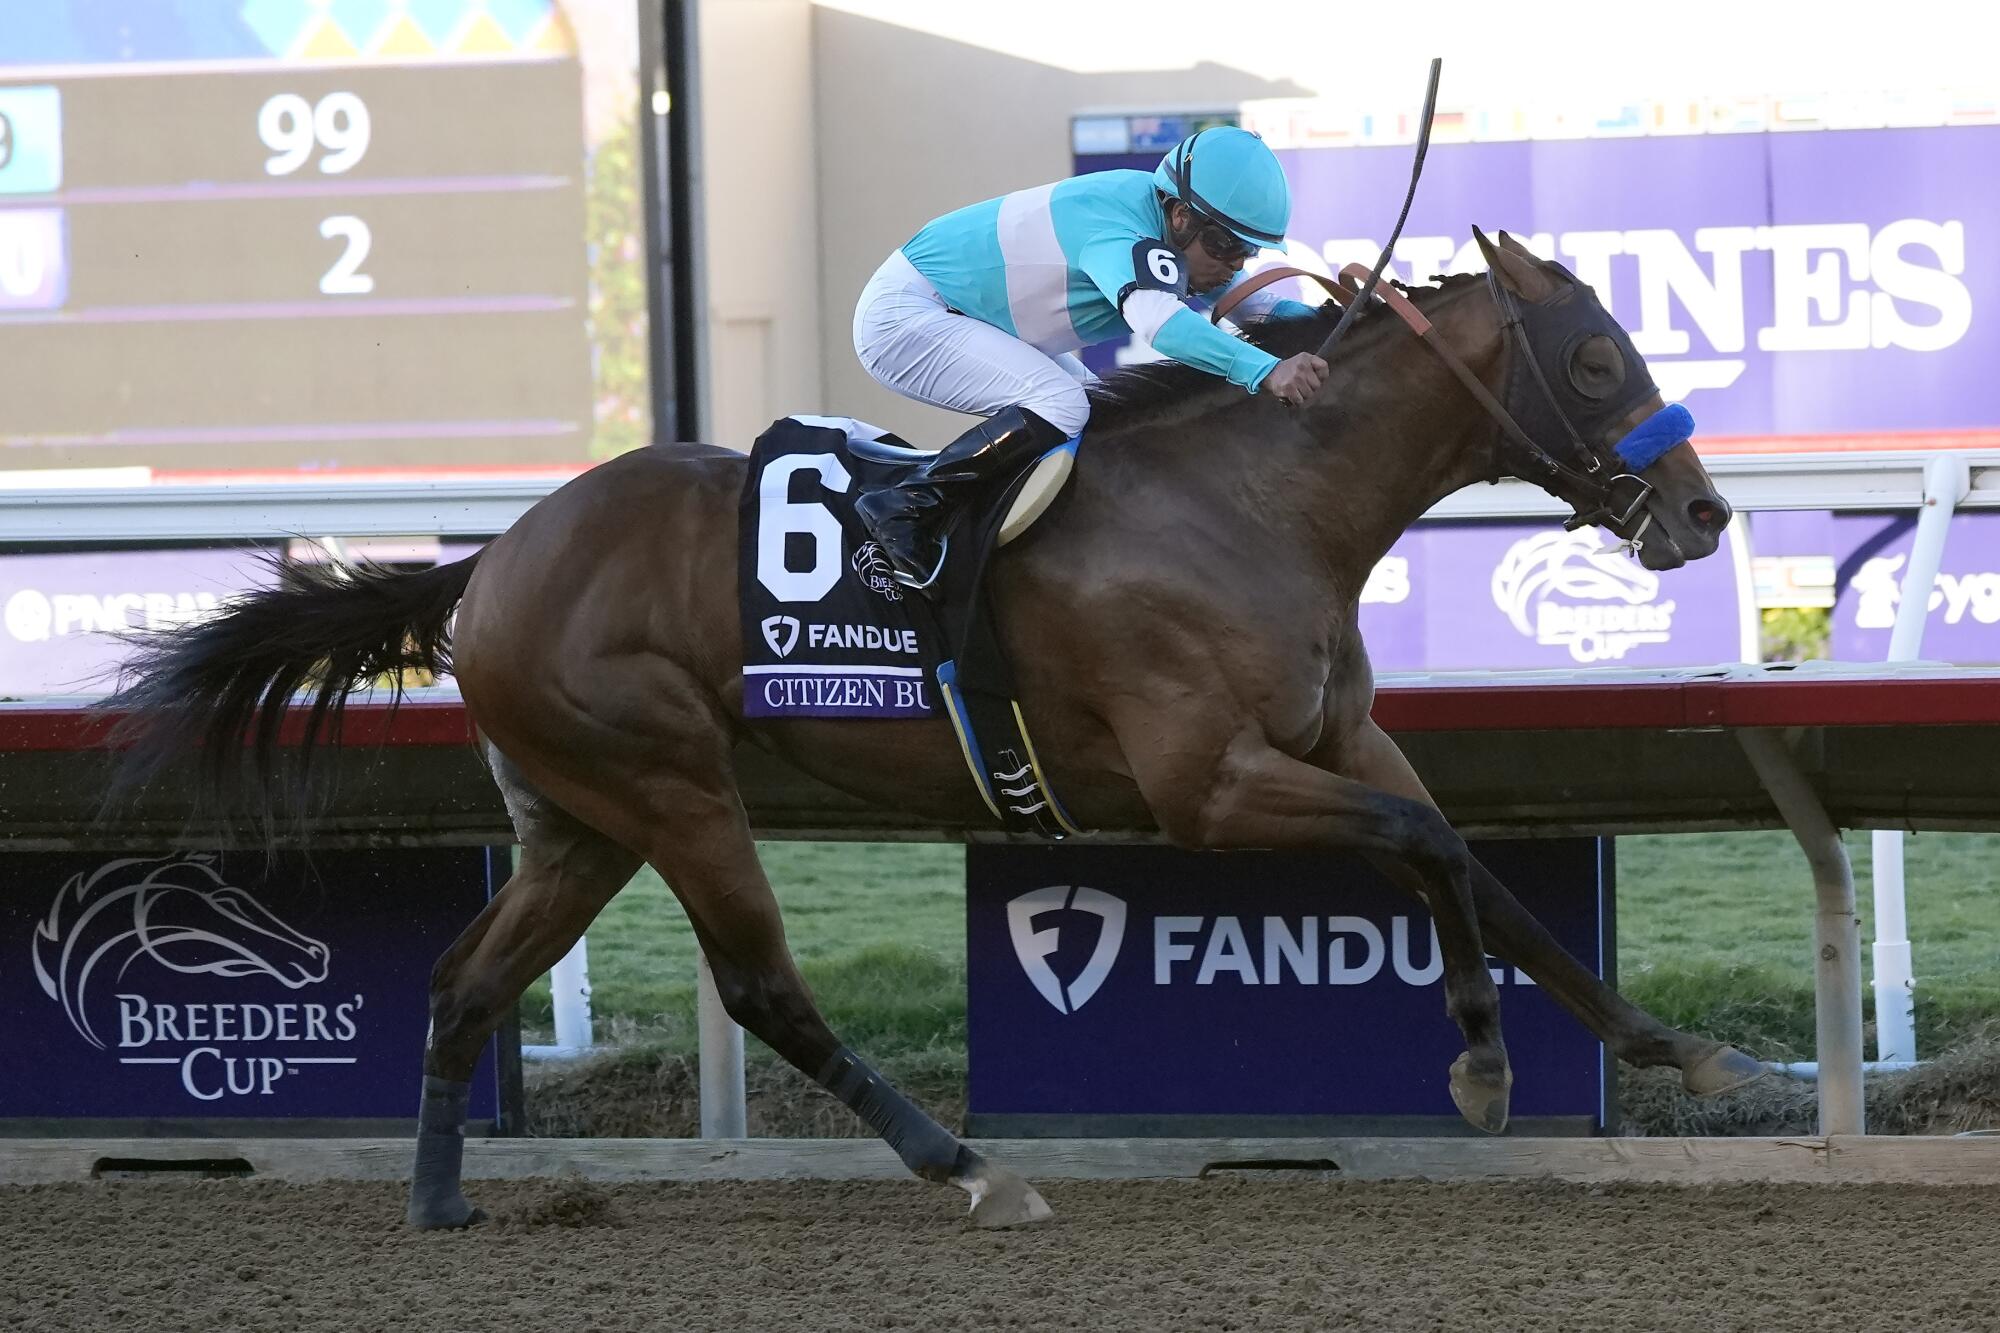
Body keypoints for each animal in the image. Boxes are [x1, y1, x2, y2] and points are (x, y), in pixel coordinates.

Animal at [109, 228, 1768, 1224]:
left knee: (463, 978)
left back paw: (439, 1194)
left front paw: (1686, 1051)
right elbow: (1427, 845)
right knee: (761, 985)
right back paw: (964, 1163)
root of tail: (496, 556)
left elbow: (1468, 862)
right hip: (671, 783)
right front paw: (1483, 1064)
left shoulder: (1338, 743)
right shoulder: (1208, 787)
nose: (1703, 511)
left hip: (578, 818)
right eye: (1600, 357)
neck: (1258, 502)